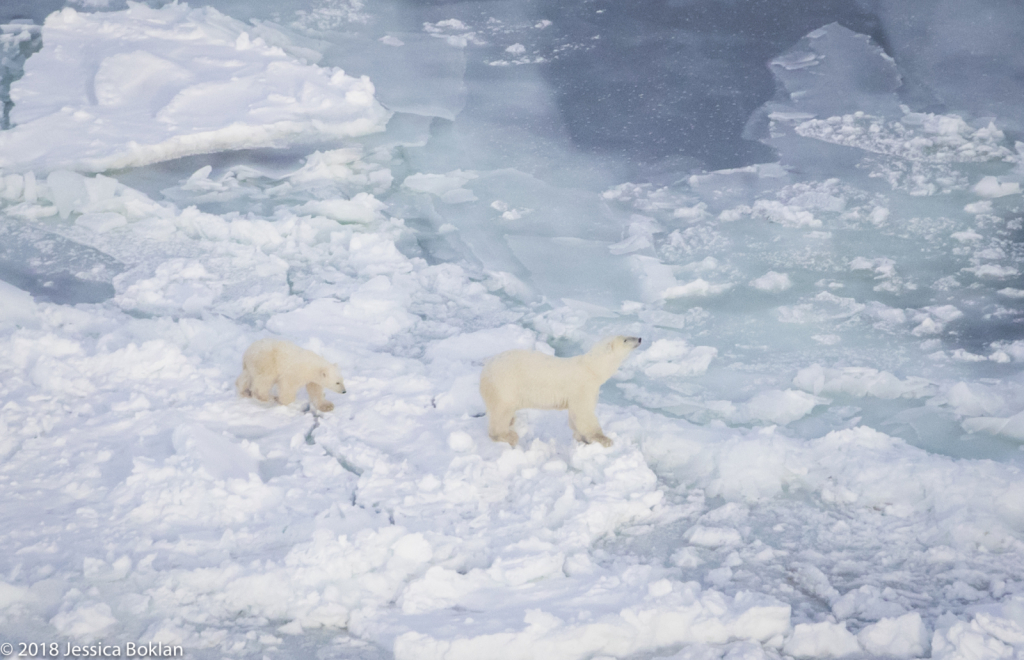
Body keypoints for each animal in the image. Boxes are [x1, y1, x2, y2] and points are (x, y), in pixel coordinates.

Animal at [479, 335, 638, 448]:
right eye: (625, 339)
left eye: (629, 334)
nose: (640, 339)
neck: (592, 368)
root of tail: (485, 369)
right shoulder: (582, 387)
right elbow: (583, 413)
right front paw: (604, 439)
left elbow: (575, 415)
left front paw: (581, 438)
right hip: (505, 385)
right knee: (502, 411)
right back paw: (508, 436)